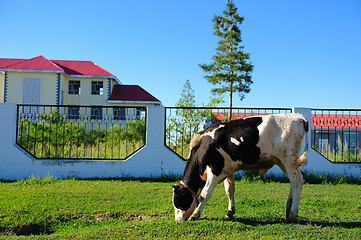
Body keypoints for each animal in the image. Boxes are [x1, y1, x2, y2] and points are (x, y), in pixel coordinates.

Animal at [172, 113, 306, 222]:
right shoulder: (228, 170)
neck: (203, 146)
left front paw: (195, 215)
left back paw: (292, 214)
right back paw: (288, 209)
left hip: (289, 160)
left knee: (297, 181)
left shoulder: (215, 169)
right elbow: (229, 190)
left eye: (178, 201)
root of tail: (298, 117)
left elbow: (205, 194)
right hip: (283, 162)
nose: (177, 220)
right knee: (297, 180)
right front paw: (230, 212)